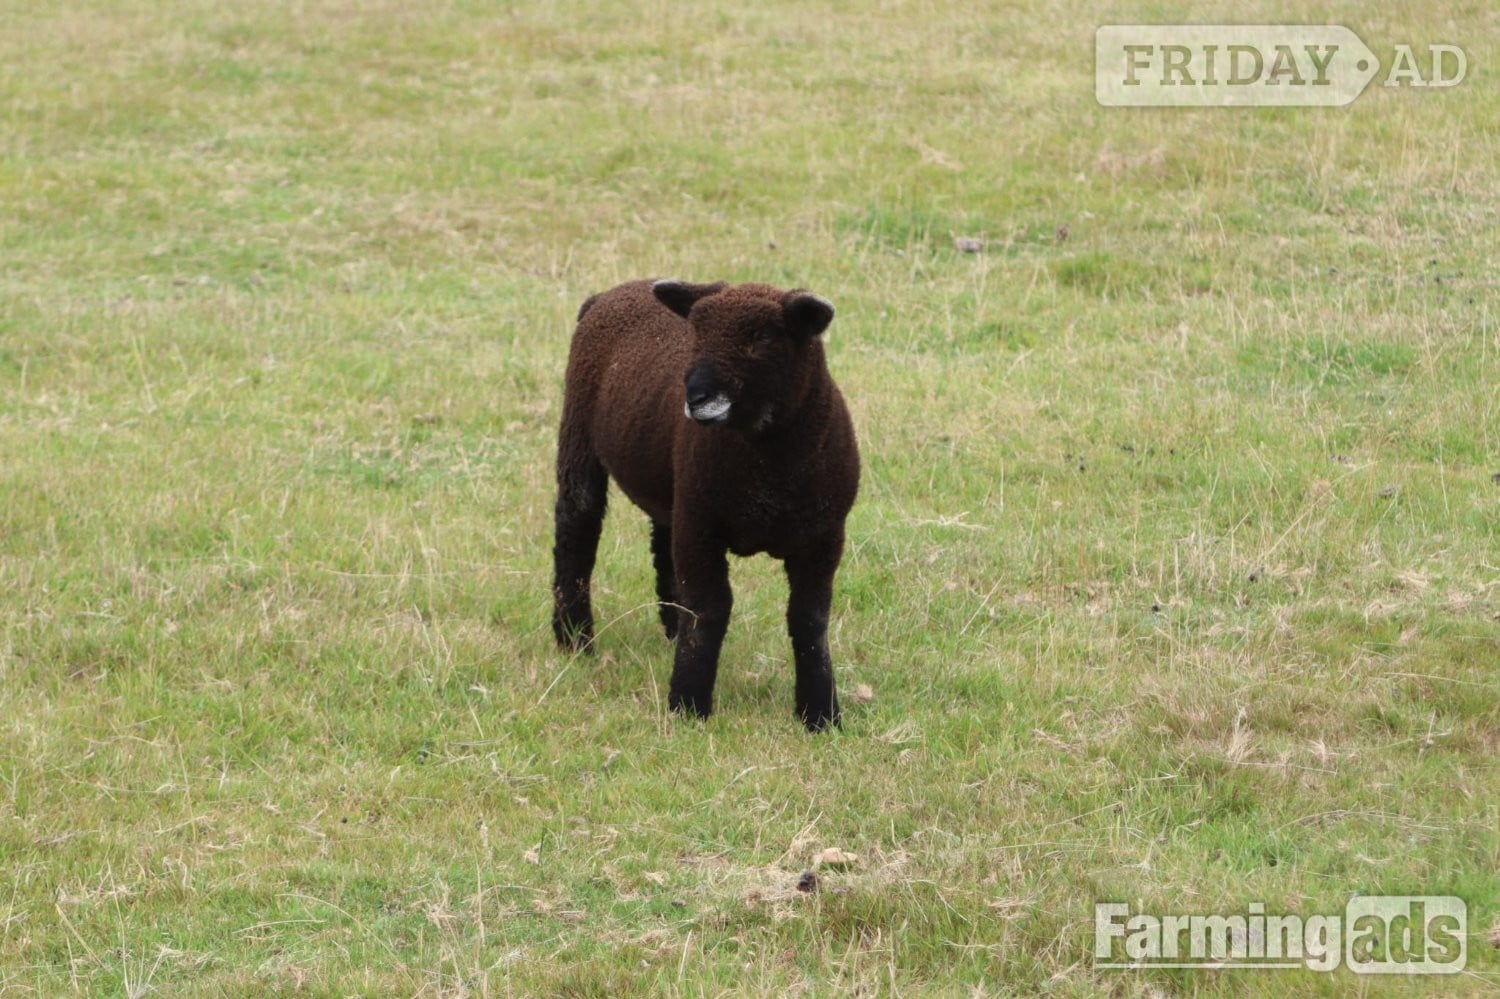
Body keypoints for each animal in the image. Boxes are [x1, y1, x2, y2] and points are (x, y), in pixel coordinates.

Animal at [551, 279, 860, 731]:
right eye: (697, 333)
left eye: (764, 337)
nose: (696, 396)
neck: (770, 469)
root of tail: (608, 294)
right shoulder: (701, 527)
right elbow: (709, 610)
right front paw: (689, 704)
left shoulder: (823, 537)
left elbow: (809, 618)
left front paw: (820, 715)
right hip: (579, 433)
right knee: (576, 530)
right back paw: (574, 639)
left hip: (673, 486)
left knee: (662, 545)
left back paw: (668, 632)